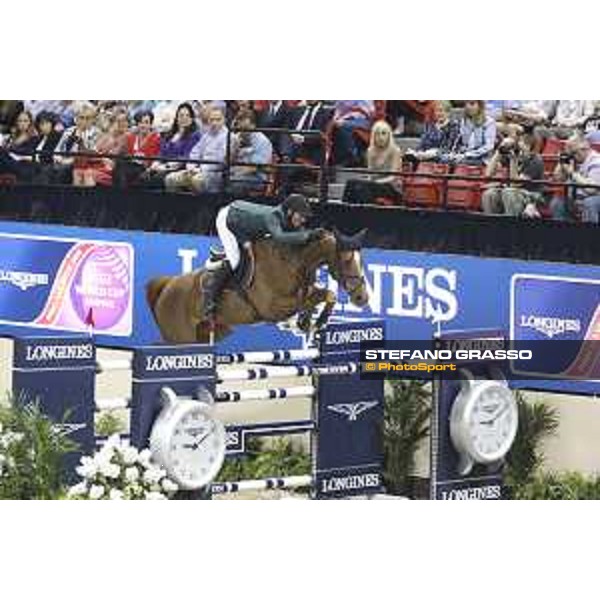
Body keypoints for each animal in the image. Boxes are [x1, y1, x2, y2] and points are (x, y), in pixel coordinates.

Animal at [146, 229, 370, 342]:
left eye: (362, 260)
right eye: (347, 260)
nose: (362, 298)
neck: (293, 261)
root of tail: (167, 286)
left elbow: (326, 294)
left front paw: (310, 321)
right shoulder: (273, 308)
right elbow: (309, 299)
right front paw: (312, 320)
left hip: (212, 333)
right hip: (181, 337)